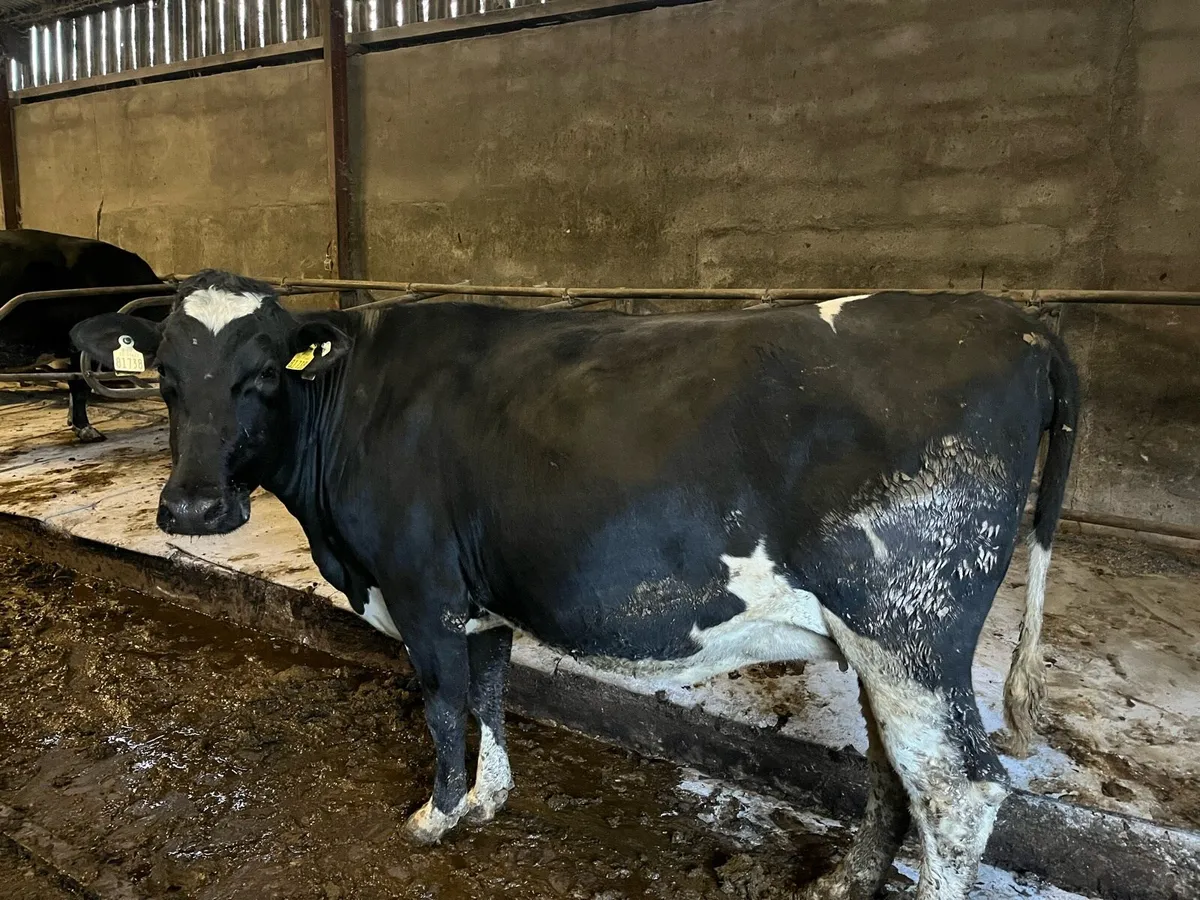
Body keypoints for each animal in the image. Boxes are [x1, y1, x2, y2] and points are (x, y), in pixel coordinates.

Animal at [71, 270, 1077, 900]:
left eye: (260, 376)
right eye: (166, 378)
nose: (194, 509)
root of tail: (1020, 320)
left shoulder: (420, 585)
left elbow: (443, 704)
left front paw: (436, 816)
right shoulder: (478, 597)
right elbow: (489, 692)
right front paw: (488, 800)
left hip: (910, 625)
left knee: (957, 789)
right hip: (881, 642)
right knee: (891, 769)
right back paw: (843, 879)